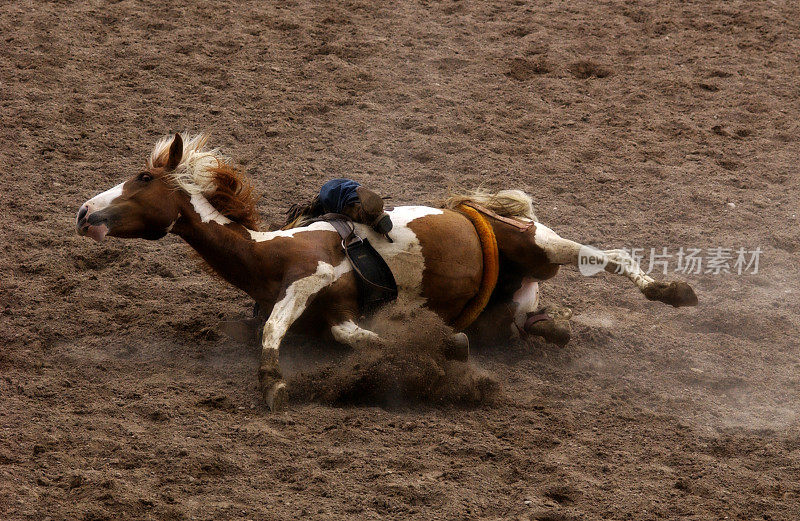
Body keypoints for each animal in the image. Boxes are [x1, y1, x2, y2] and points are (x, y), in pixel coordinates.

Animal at [76, 133, 700, 410]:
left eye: (143, 179)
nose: (83, 213)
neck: (267, 255)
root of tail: (476, 207)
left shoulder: (311, 283)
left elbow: (278, 328)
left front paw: (273, 383)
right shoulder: (333, 314)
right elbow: (359, 339)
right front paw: (444, 348)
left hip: (539, 244)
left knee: (613, 258)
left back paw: (673, 290)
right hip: (509, 306)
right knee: (536, 321)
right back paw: (553, 326)